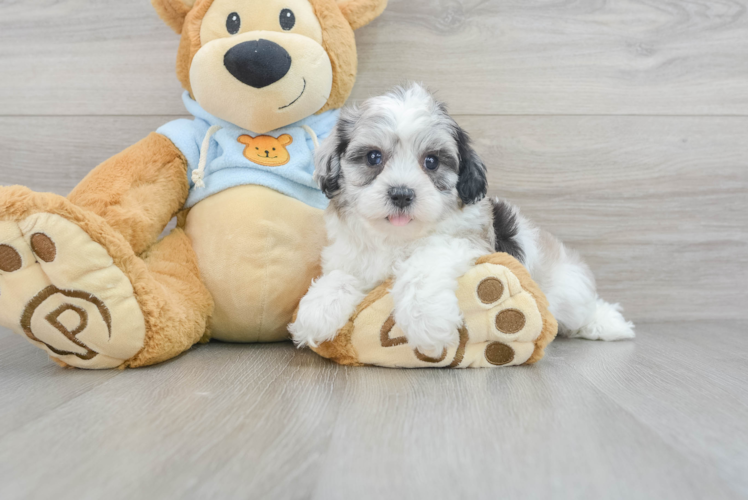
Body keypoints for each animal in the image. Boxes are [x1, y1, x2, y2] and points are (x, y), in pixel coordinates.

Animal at [290, 84, 636, 358]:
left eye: (431, 161)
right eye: (373, 157)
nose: (401, 194)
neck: (397, 238)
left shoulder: (463, 242)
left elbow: (422, 265)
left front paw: (426, 320)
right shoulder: (351, 256)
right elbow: (340, 275)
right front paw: (317, 310)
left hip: (567, 290)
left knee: (584, 309)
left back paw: (607, 323)